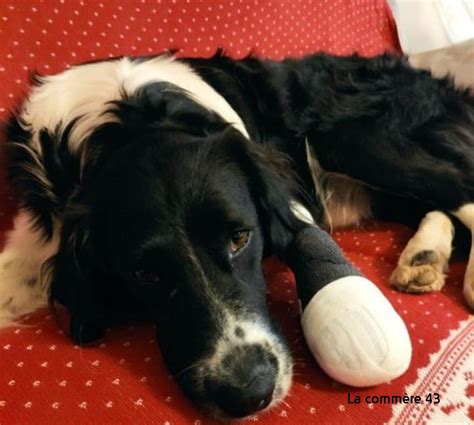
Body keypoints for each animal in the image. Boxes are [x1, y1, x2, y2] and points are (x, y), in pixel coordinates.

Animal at [0, 52, 474, 418]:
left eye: (240, 238)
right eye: (144, 274)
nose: (249, 394)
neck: (126, 121)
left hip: (354, 138)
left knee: (459, 186)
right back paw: (424, 257)